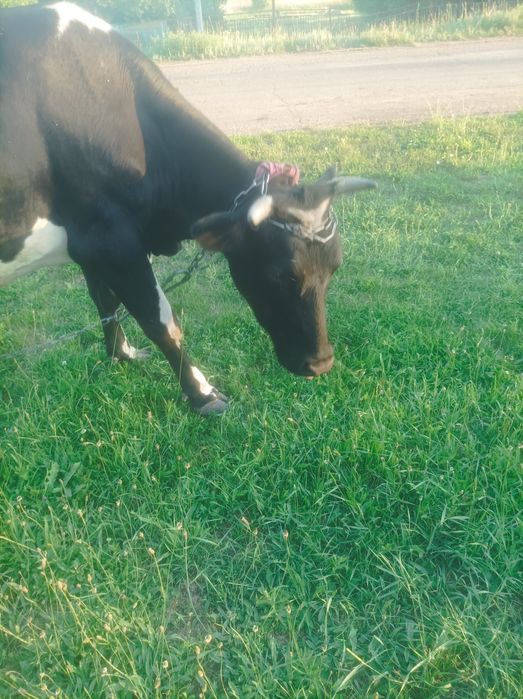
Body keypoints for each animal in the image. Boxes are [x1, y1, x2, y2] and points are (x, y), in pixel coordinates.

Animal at [0, 2, 376, 415]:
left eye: (334, 268)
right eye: (281, 275)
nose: (320, 363)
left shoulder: (91, 242)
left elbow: (105, 300)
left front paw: (122, 354)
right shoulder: (110, 241)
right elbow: (160, 321)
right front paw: (203, 394)